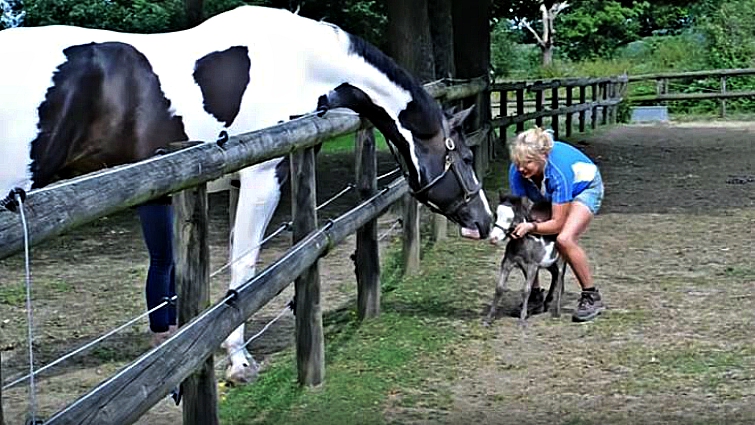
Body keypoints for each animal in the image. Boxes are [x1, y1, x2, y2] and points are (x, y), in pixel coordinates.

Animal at [0, 5, 492, 384]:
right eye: (465, 156)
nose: (485, 222)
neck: (301, 61)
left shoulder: (240, 183)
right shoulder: (263, 177)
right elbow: (245, 266)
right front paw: (238, 363)